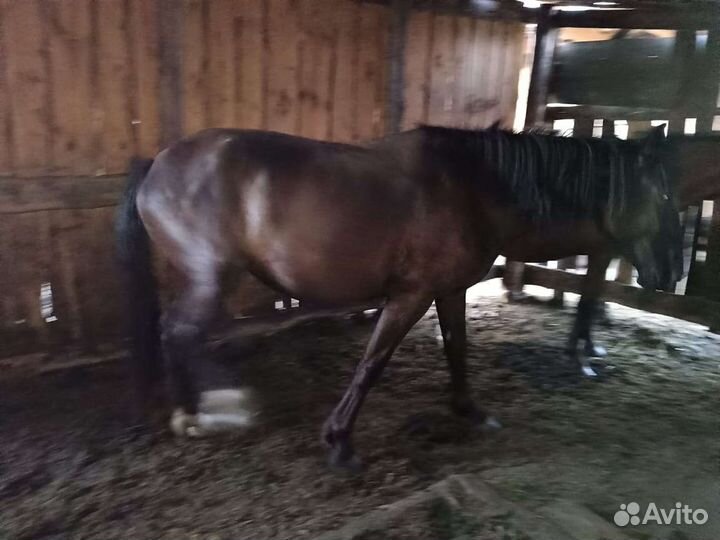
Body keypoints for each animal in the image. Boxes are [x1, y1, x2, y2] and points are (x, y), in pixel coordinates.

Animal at [115, 124, 682, 470]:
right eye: (662, 195)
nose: (673, 272)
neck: (474, 188)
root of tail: (157, 162)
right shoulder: (411, 295)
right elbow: (372, 363)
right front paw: (340, 442)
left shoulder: (449, 290)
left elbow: (457, 349)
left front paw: (470, 410)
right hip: (210, 277)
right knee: (181, 333)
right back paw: (204, 412)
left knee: (178, 335)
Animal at [504, 133, 720, 372]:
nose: (674, 274)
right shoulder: (601, 252)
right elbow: (587, 300)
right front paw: (580, 355)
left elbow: (593, 295)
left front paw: (587, 347)